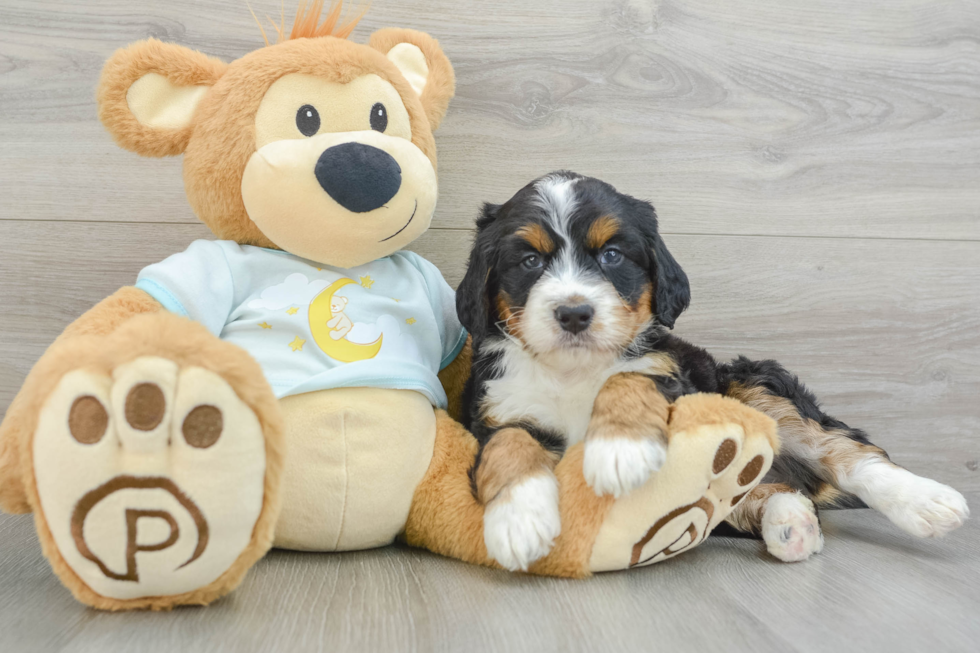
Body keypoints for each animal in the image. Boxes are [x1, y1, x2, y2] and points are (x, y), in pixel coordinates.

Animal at [456, 172, 968, 572]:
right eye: (529, 261)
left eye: (612, 256)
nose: (574, 313)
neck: (573, 371)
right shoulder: (494, 409)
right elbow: (510, 443)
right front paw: (519, 522)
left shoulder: (676, 376)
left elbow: (628, 377)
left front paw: (619, 451)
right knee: (751, 495)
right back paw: (790, 521)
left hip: (752, 385)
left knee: (849, 451)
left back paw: (927, 502)